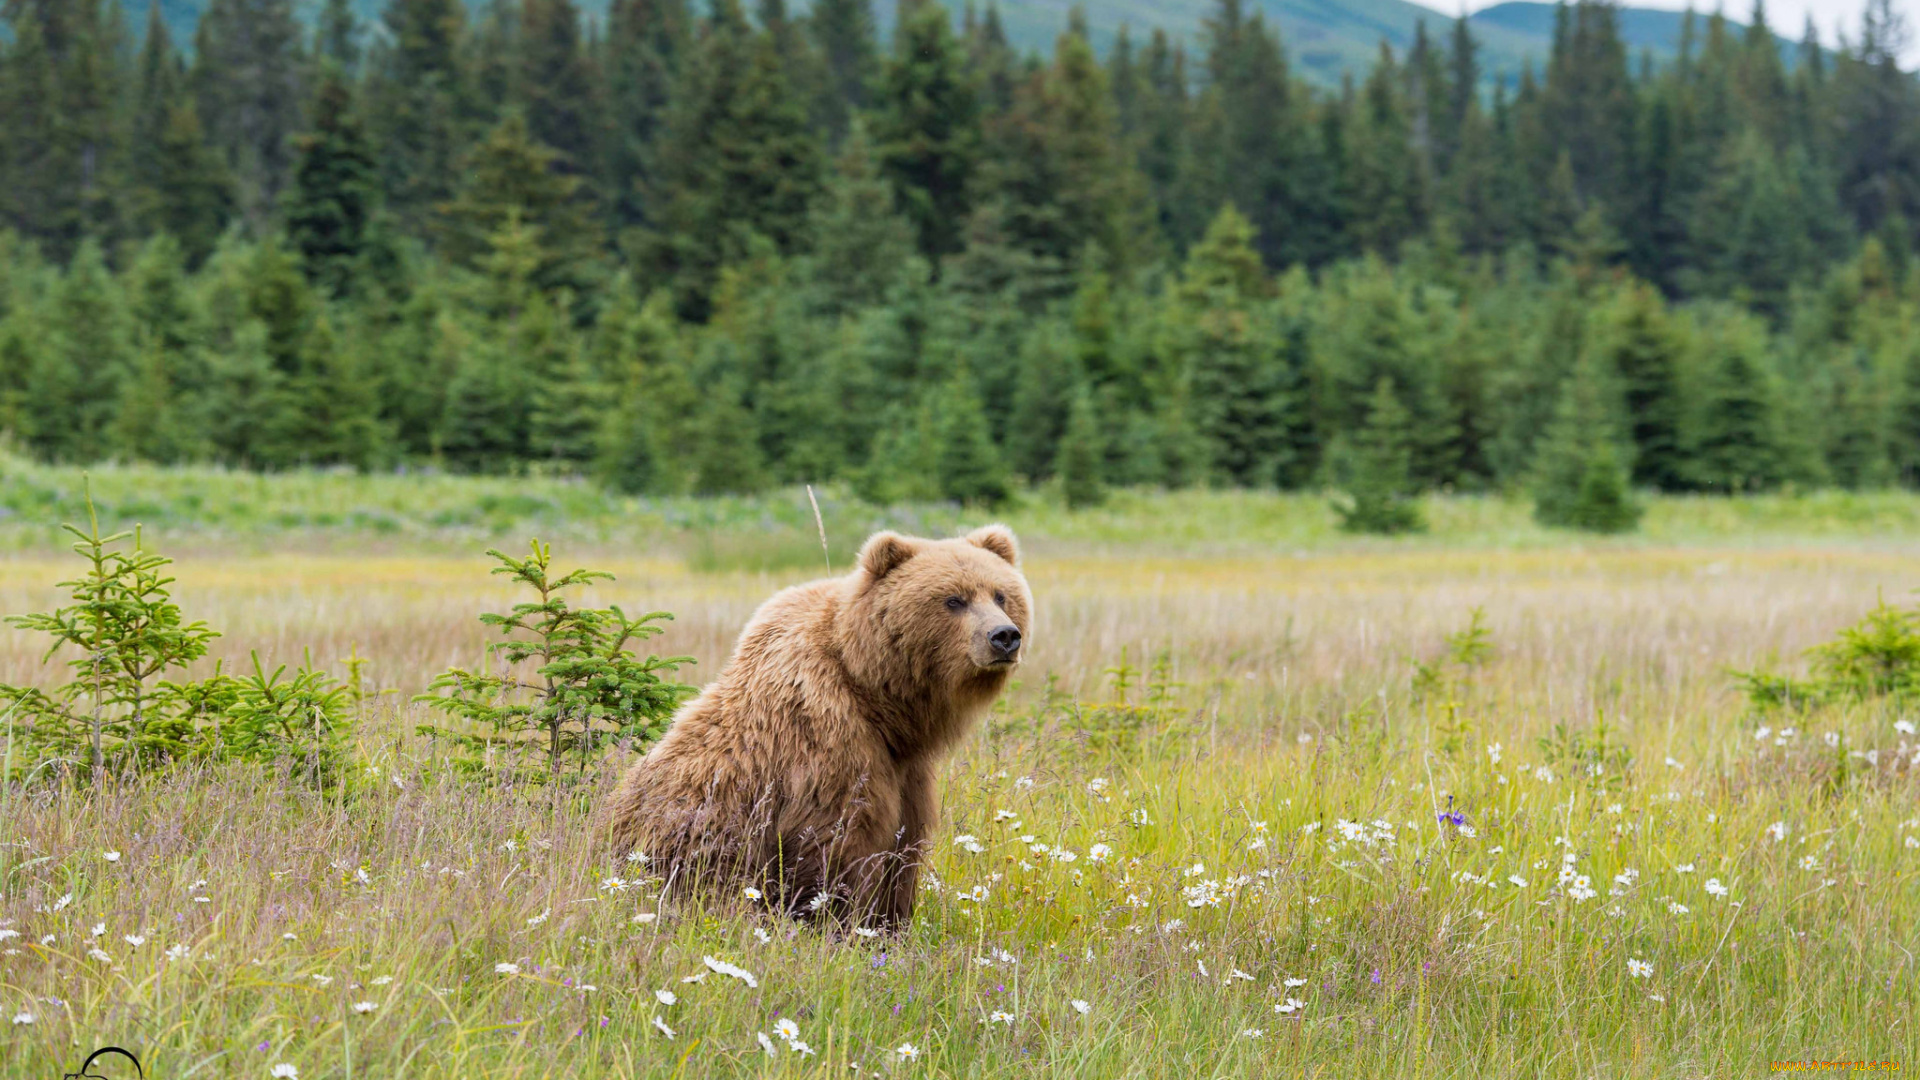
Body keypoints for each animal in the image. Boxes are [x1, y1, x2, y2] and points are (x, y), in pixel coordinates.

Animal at [610, 522, 1036, 926]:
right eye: (953, 600)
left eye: (1000, 594)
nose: (1004, 636)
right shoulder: (826, 737)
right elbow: (839, 841)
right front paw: (839, 922)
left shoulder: (907, 771)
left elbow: (904, 848)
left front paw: (891, 924)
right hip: (688, 842)